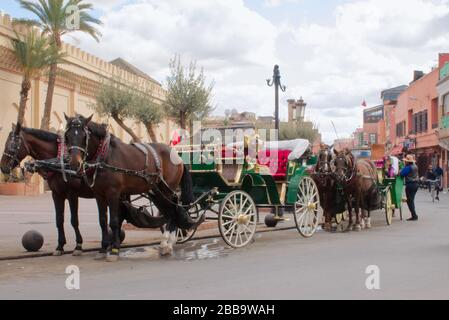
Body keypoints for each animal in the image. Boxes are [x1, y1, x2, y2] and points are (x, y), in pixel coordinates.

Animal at [0, 122, 91, 255]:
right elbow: (59, 220)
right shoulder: (56, 194)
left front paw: (78, 245)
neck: (60, 161)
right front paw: (60, 246)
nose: (3, 166)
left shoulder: (72, 194)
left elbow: (74, 220)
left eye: (12, 145)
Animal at [63, 115, 203, 262]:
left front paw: (114, 250)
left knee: (173, 211)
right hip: (158, 190)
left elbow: (114, 221)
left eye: (84, 136)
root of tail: (177, 155)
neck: (105, 155)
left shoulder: (113, 193)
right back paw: (167, 242)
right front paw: (103, 249)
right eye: (67, 136)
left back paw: (167, 244)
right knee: (170, 212)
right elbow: (102, 221)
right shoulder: (99, 194)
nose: (74, 163)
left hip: (168, 189)